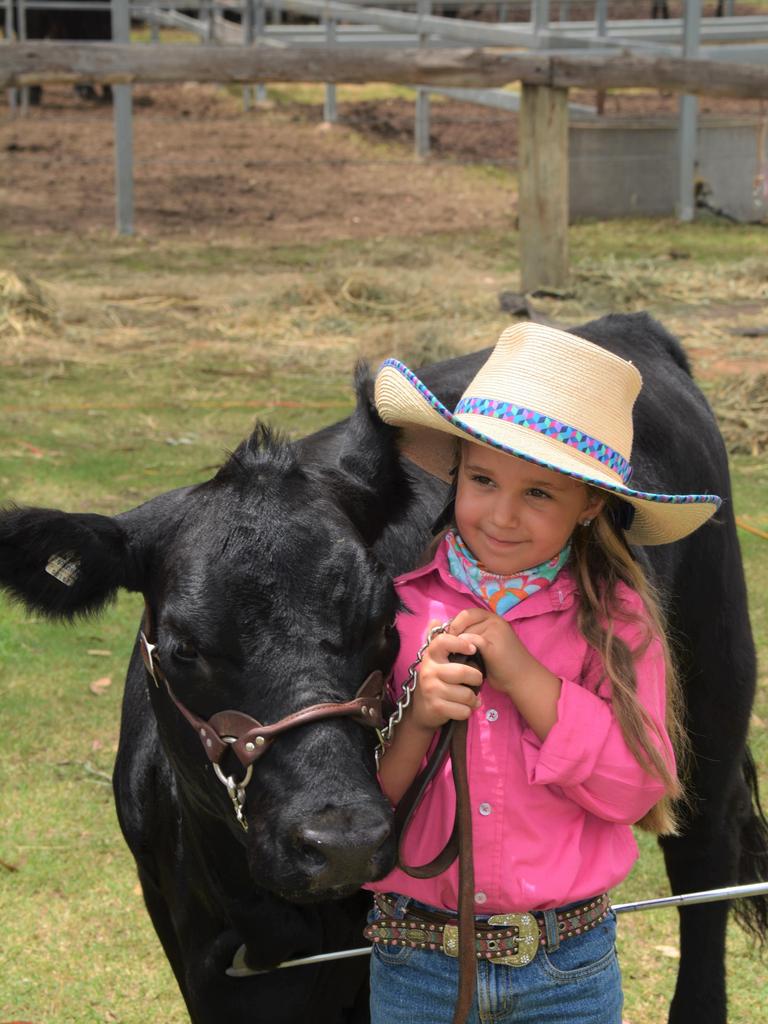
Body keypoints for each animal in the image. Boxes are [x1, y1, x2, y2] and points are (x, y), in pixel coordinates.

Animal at [1, 313, 768, 1024]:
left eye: (380, 620)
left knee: (704, 855)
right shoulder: (198, 954)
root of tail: (619, 326)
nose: (341, 842)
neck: (266, 919)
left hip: (713, 685)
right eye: (184, 645)